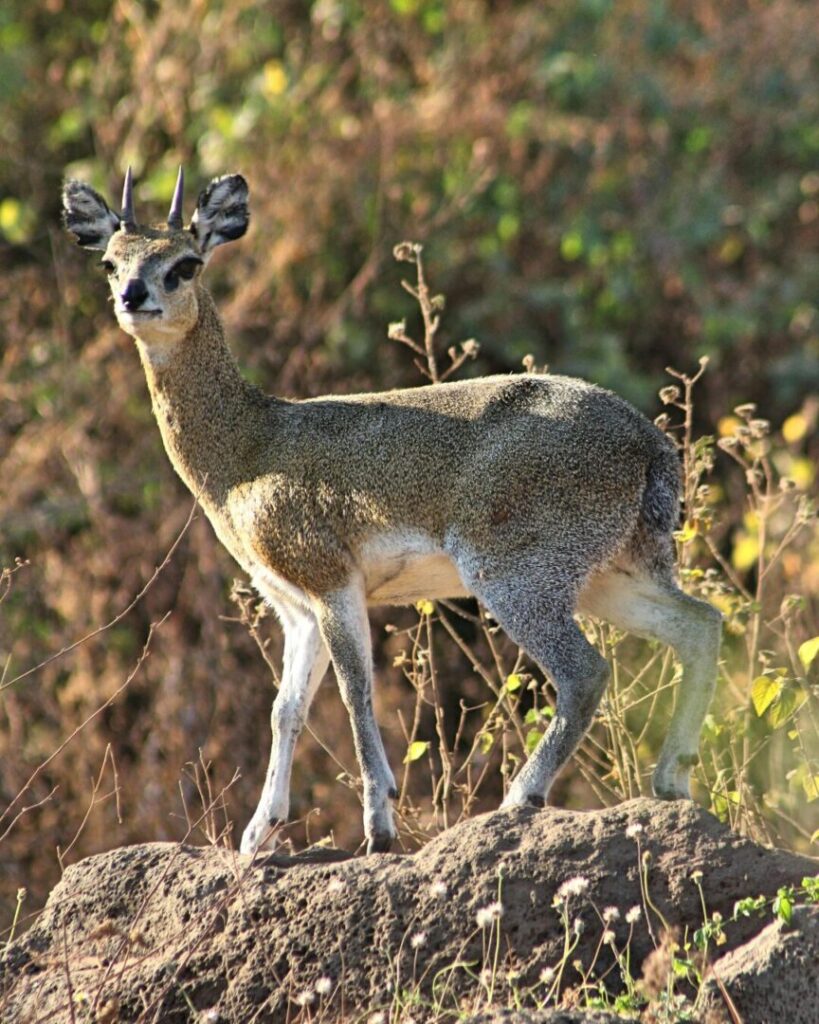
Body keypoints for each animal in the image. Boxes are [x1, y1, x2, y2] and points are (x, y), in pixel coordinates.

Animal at [62, 168, 721, 855]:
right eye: (111, 262)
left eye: (185, 263)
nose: (133, 296)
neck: (248, 448)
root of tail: (649, 442)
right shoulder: (293, 606)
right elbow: (285, 708)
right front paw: (258, 834)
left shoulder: (333, 583)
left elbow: (356, 695)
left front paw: (378, 827)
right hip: (609, 576)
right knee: (701, 625)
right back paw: (671, 781)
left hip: (514, 576)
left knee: (587, 672)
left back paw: (521, 796)